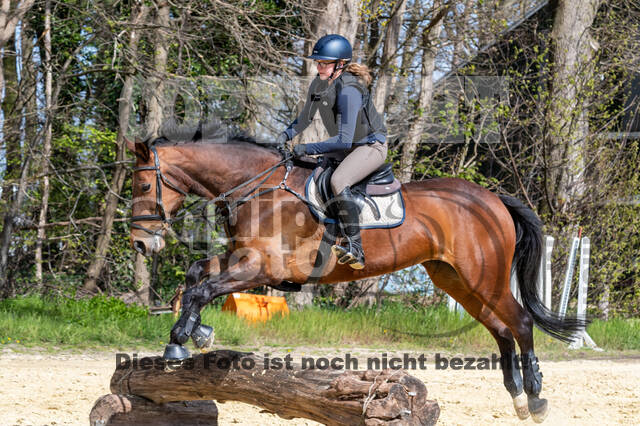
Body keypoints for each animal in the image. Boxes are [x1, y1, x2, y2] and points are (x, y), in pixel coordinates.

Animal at [127, 130, 588, 422]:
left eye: (145, 186)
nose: (141, 244)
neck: (255, 188)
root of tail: (492, 198)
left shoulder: (262, 265)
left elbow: (203, 288)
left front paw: (180, 342)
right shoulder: (243, 259)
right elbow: (197, 276)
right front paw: (197, 333)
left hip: (482, 276)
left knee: (521, 322)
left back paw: (536, 397)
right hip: (455, 280)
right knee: (500, 328)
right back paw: (518, 400)